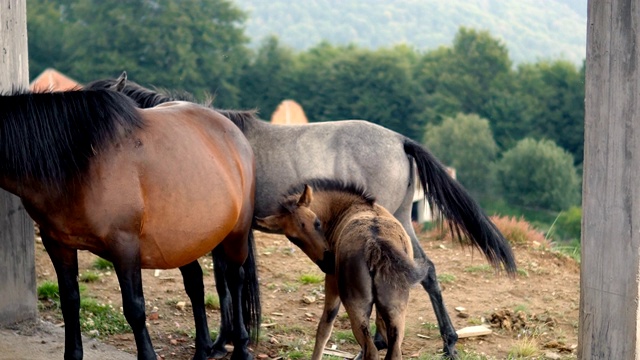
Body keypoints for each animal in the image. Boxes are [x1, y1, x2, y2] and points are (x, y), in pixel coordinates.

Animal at [0, 89, 260, 360]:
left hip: (236, 233)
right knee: (195, 283)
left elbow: (135, 308)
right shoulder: (57, 243)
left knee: (235, 278)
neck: (79, 163)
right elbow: (69, 301)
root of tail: (231, 129)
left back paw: (242, 347)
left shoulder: (124, 245)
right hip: (184, 240)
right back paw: (202, 350)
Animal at [255, 180, 424, 360]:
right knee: (394, 350)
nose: (328, 262)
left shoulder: (331, 282)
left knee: (370, 350)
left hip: (355, 305)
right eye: (294, 239)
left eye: (317, 223)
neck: (351, 205)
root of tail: (374, 243)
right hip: (396, 309)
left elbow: (324, 327)